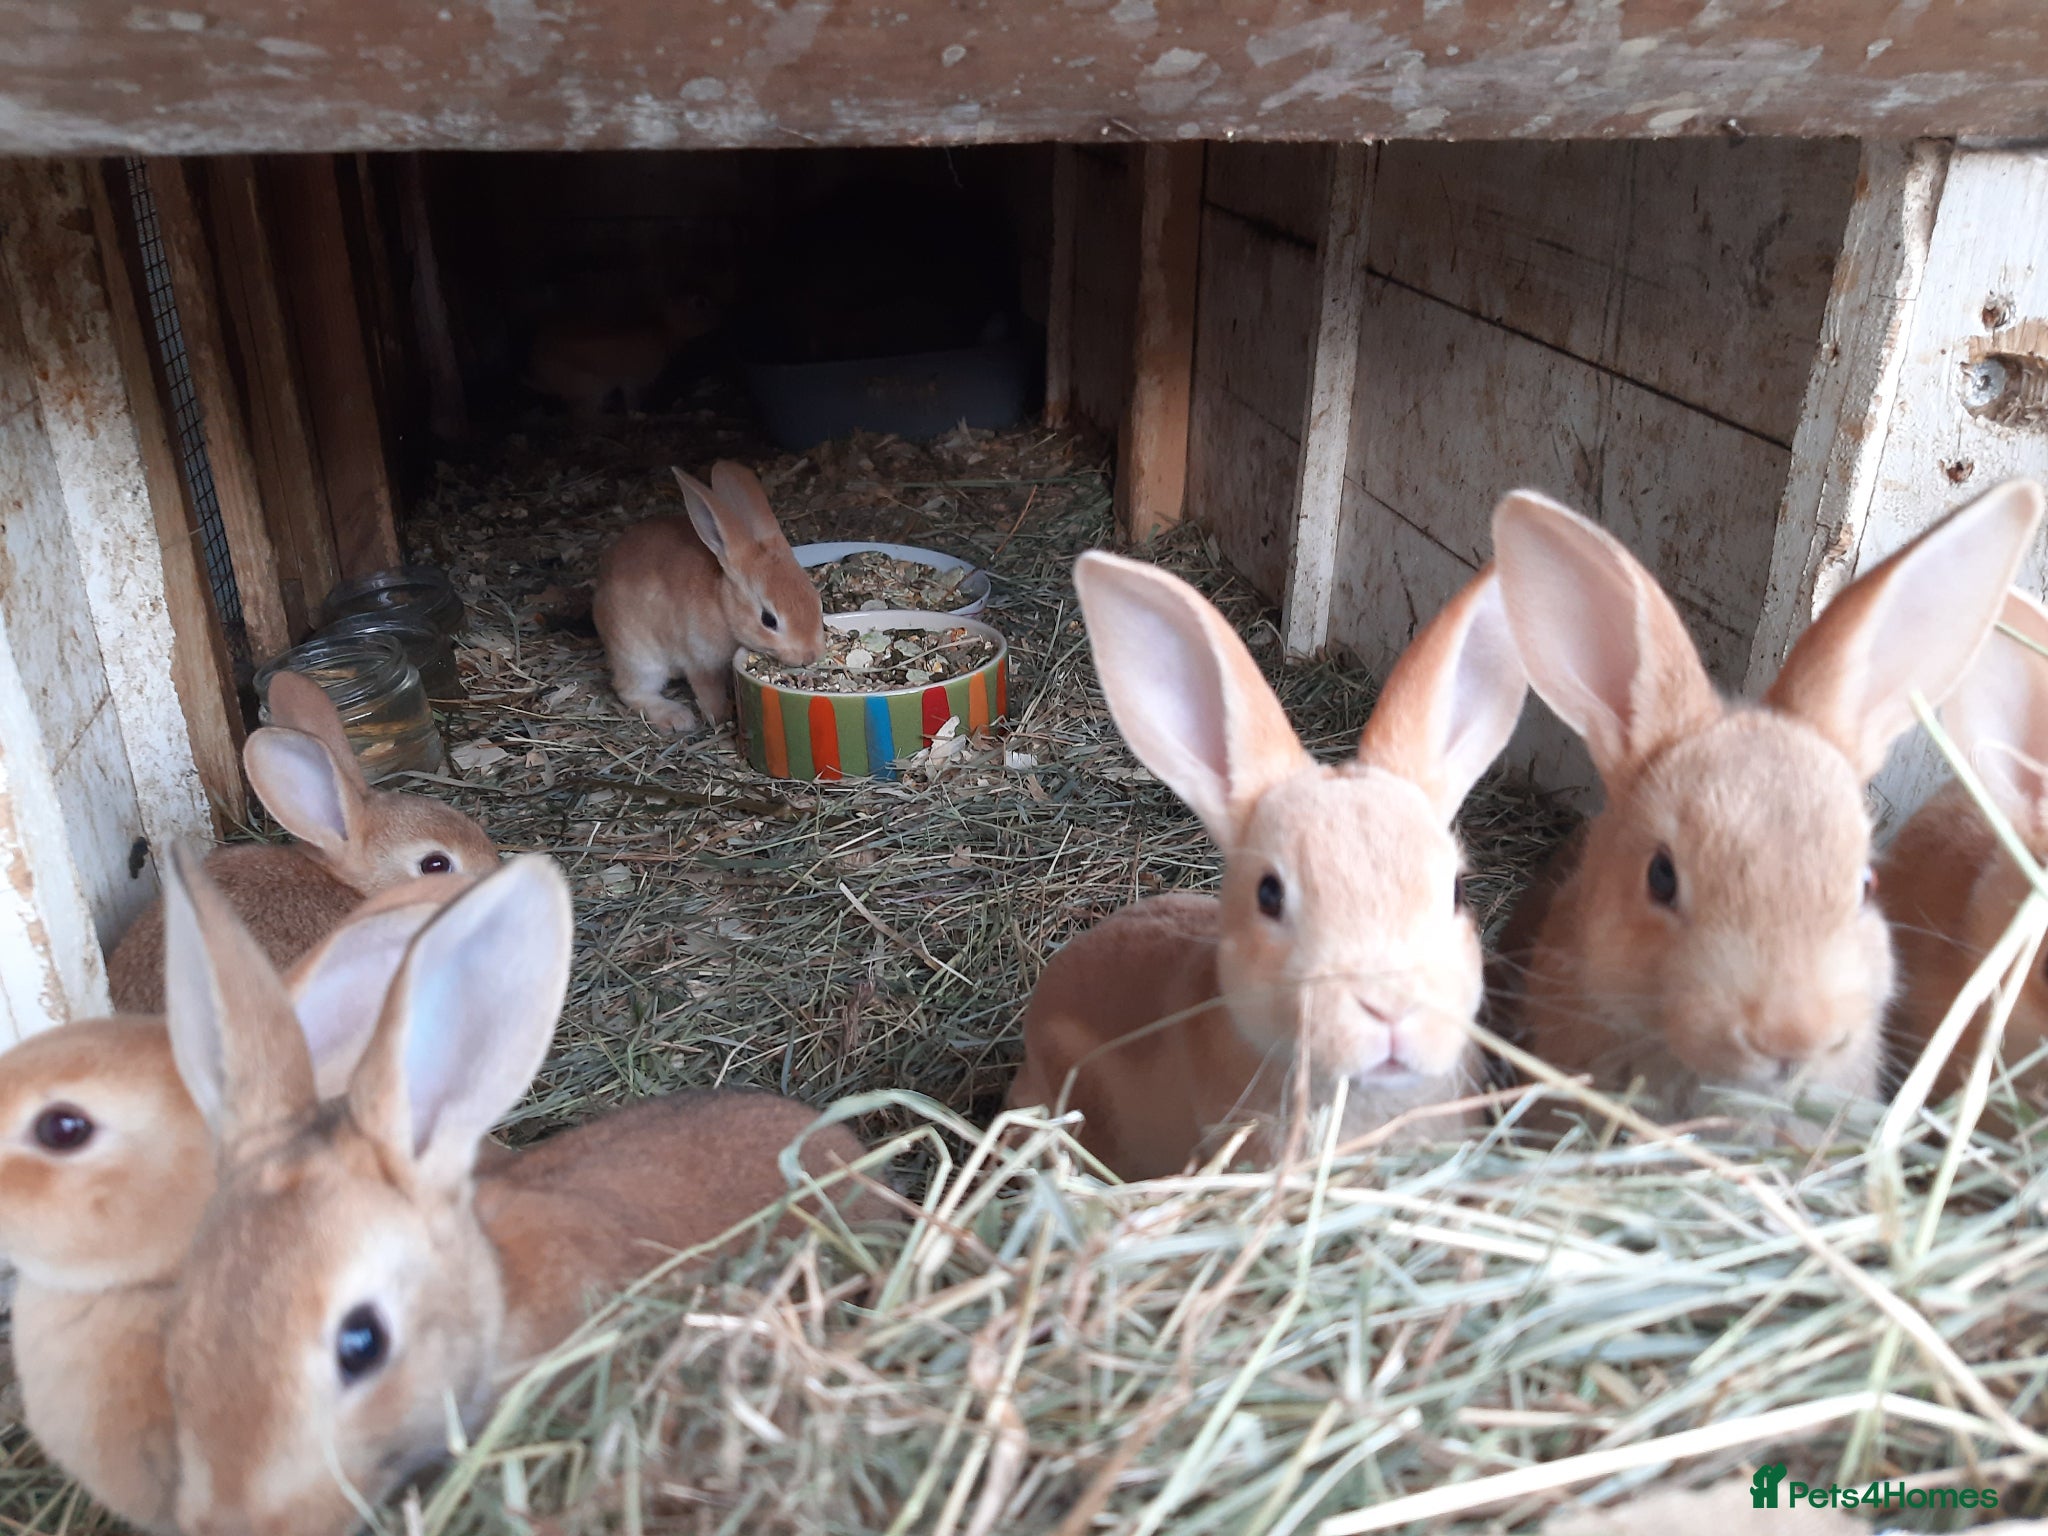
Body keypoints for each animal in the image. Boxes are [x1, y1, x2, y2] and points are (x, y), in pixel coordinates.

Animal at [592, 461, 826, 735]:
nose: (810, 655)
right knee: (631, 690)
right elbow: (708, 690)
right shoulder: (699, 661)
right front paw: (720, 715)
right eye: (768, 620)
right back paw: (676, 717)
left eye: (817, 601)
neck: (722, 604)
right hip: (638, 656)